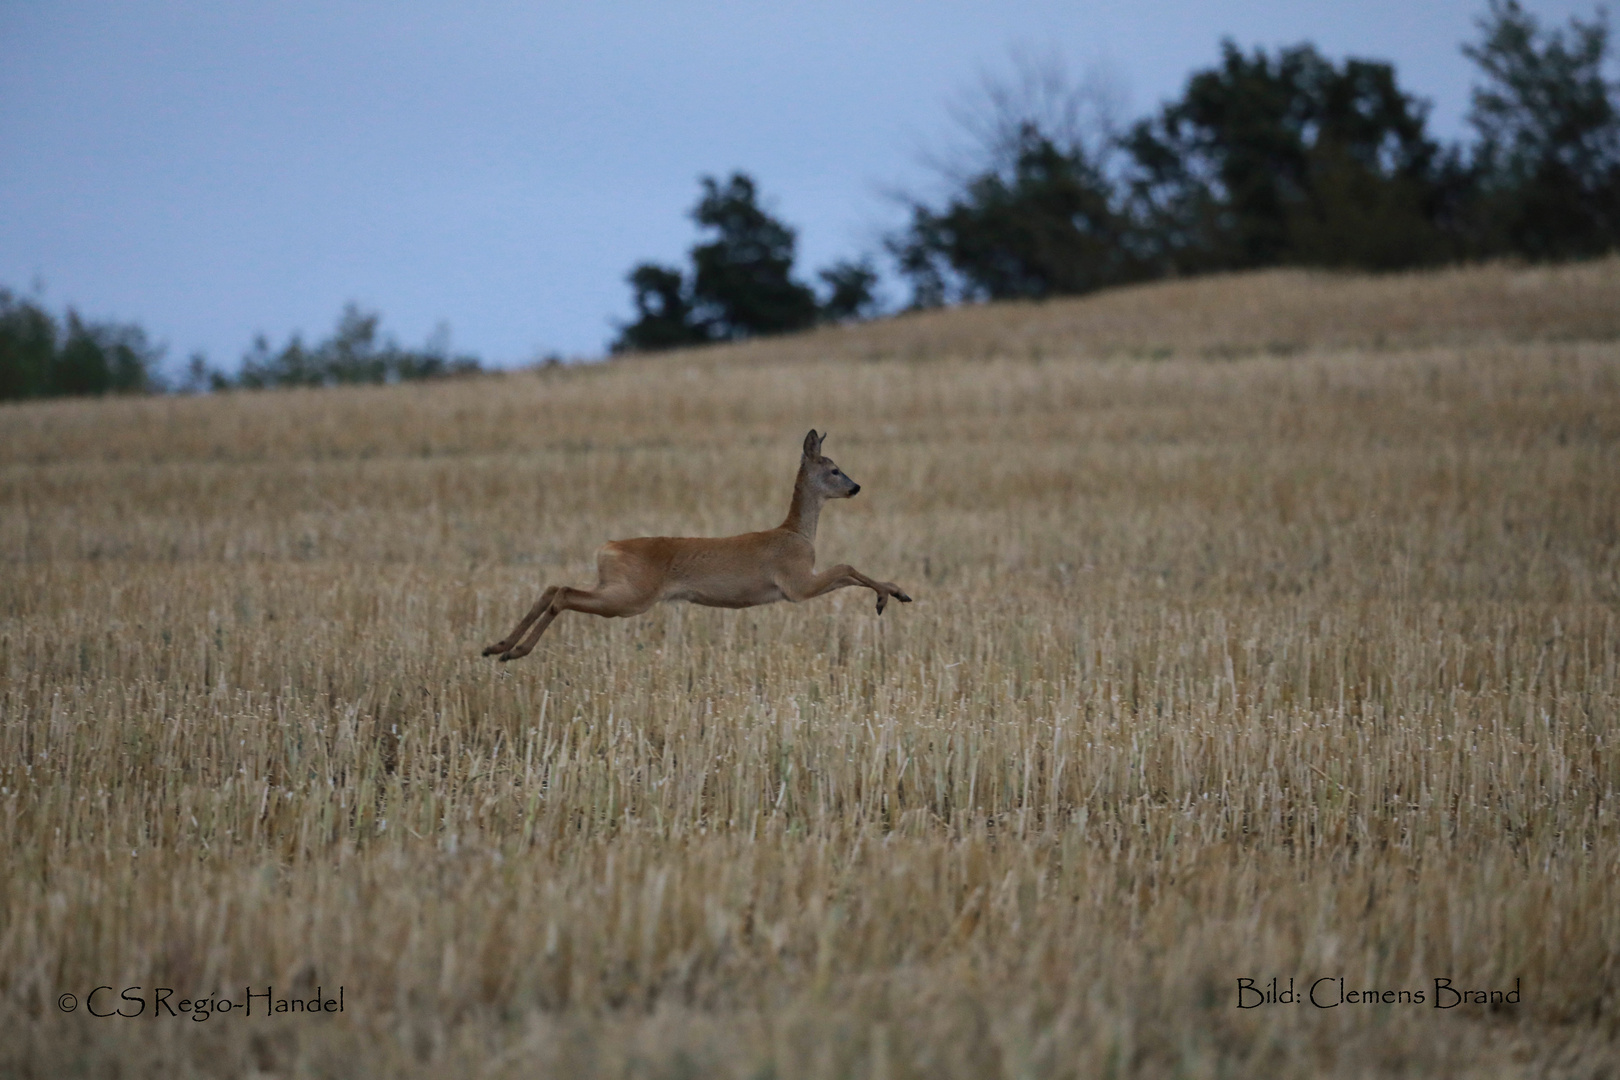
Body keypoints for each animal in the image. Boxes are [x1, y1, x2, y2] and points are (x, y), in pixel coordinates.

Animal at [476, 427, 913, 663]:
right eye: (834, 469)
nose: (856, 487)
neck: (797, 533)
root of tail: (607, 547)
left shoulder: (800, 582)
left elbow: (848, 574)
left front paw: (895, 593)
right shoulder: (795, 582)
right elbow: (846, 567)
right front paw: (889, 596)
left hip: (615, 587)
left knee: (553, 586)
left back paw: (497, 646)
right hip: (630, 596)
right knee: (563, 593)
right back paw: (514, 652)